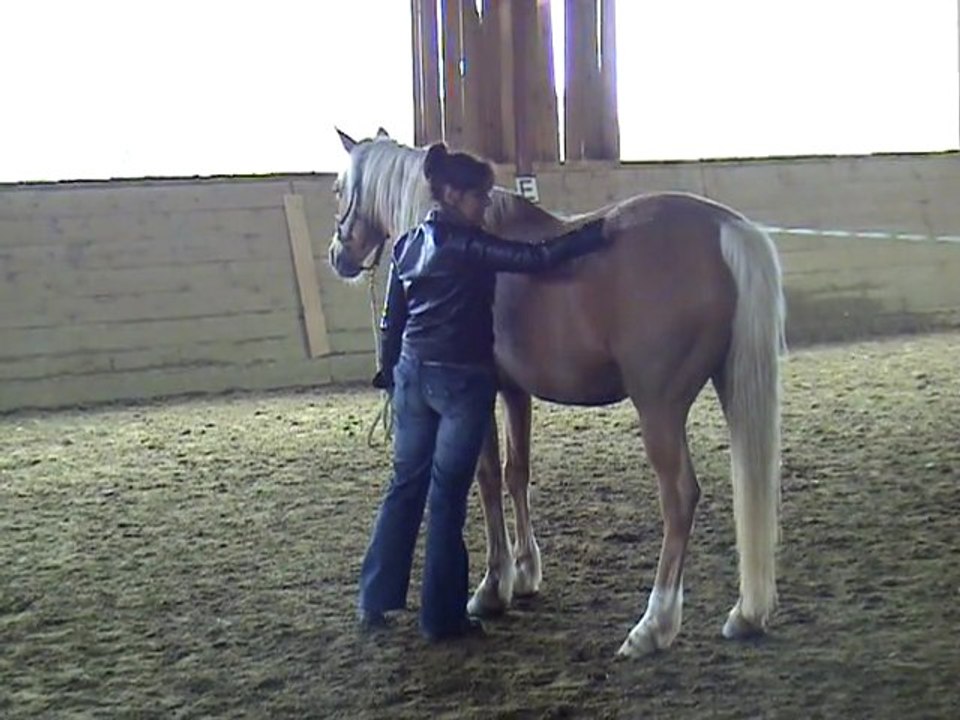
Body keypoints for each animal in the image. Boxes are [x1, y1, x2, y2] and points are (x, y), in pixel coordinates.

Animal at [327, 128, 785, 657]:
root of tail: (726, 227)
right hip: (729, 385)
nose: (338, 255)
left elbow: (485, 478)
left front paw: (493, 587)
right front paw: (526, 573)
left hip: (659, 408)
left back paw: (653, 625)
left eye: (338, 189)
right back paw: (746, 614)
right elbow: (516, 473)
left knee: (680, 497)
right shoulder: (514, 392)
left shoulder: (479, 396)